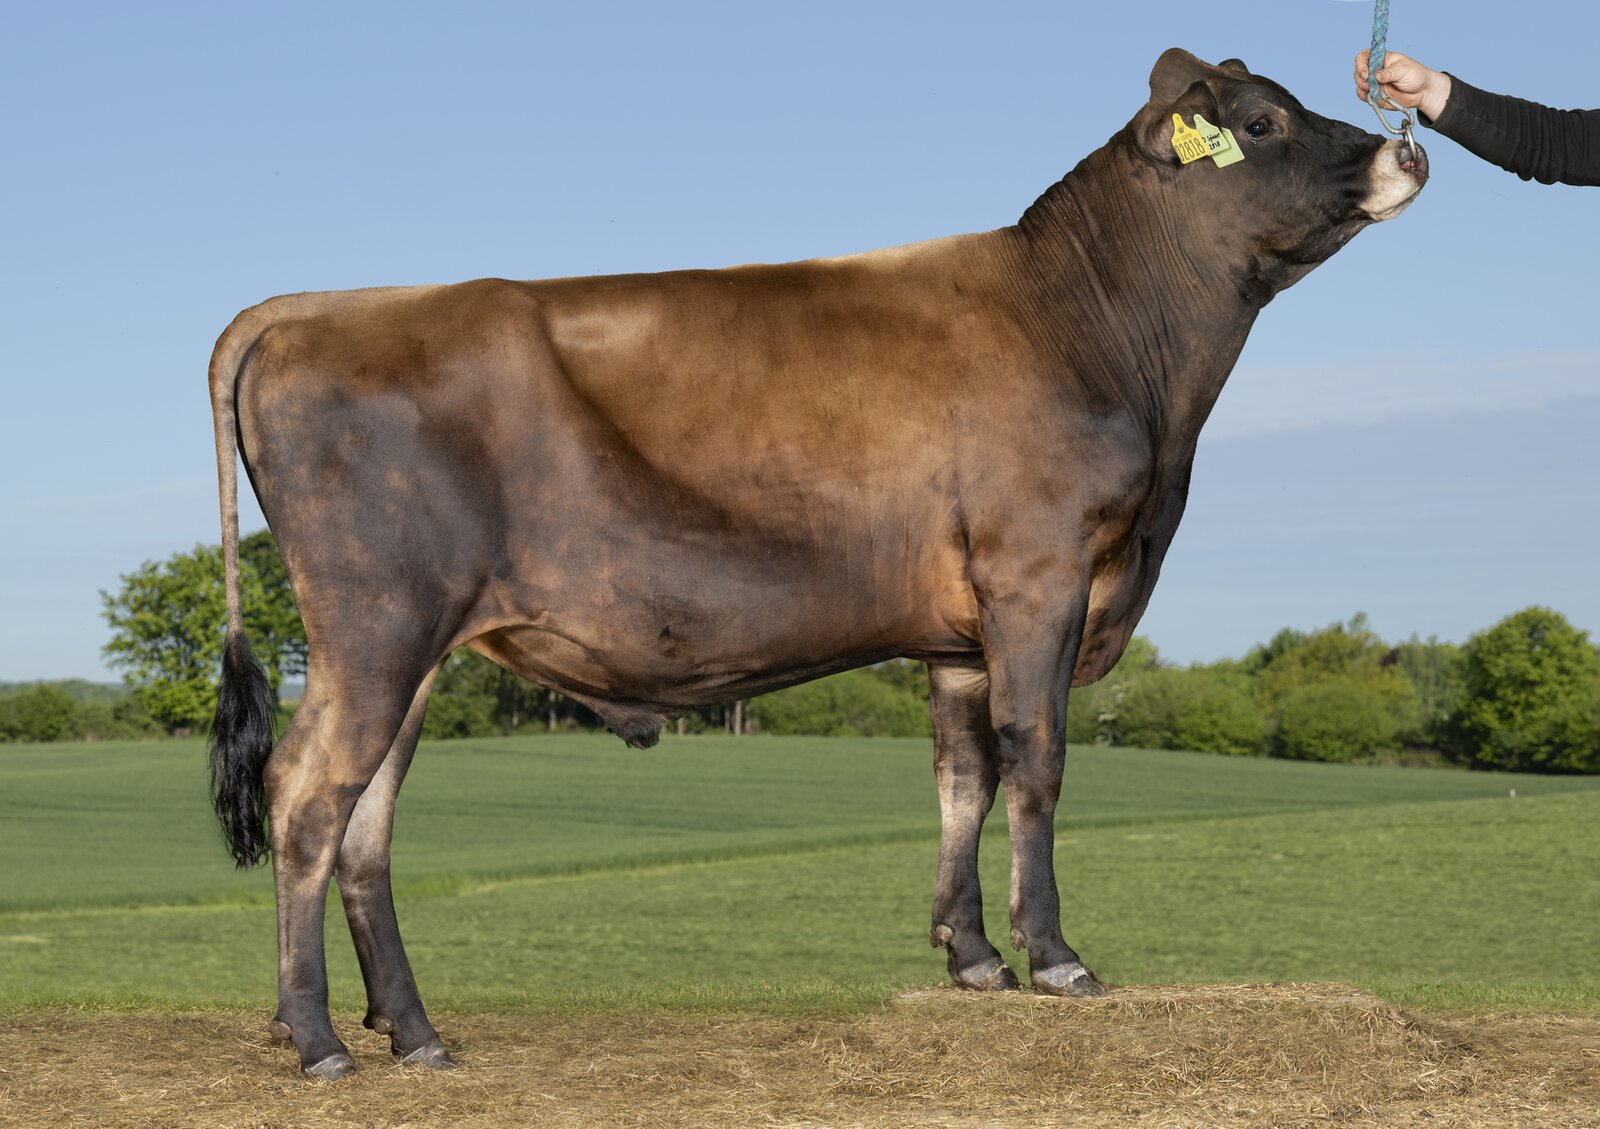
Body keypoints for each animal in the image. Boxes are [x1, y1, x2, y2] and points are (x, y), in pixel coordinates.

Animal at [207, 49, 1426, 1079]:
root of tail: (316, 308)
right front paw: (1054, 957)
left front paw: (970, 956)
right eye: (1263, 122)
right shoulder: (1039, 575)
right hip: (376, 623)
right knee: (306, 793)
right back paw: (318, 1036)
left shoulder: (960, 629)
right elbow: (1036, 759)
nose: (1405, 151)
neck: (1100, 335)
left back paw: (413, 1031)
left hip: (413, 645)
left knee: (367, 819)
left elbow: (962, 776)